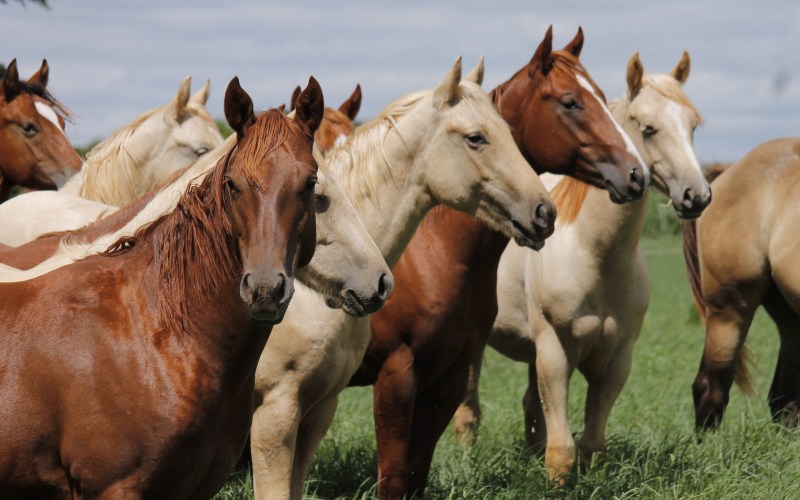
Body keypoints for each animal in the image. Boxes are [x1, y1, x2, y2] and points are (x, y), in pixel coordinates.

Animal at [347, 27, 649, 498]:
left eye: (603, 96)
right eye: (570, 102)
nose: (635, 175)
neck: (433, 253)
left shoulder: (449, 375)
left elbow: (416, 471)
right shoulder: (397, 374)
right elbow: (394, 476)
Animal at [458, 50, 708, 483]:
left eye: (692, 125)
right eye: (648, 128)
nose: (697, 195)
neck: (594, 255)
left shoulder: (616, 359)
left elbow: (590, 444)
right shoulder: (555, 354)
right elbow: (561, 451)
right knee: (468, 414)